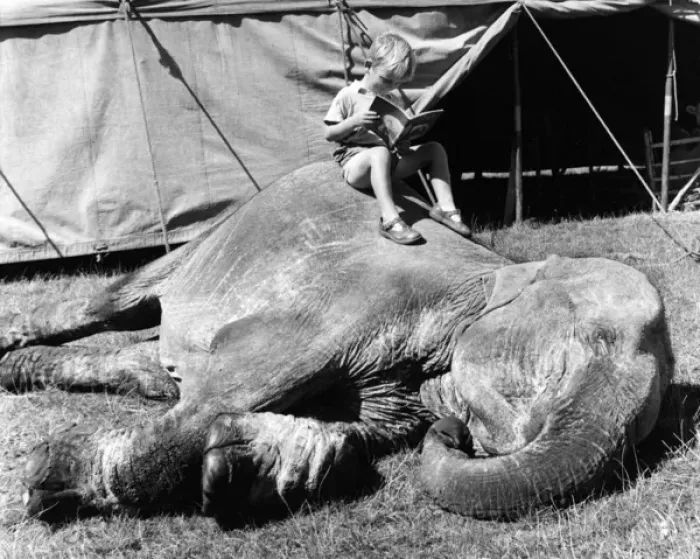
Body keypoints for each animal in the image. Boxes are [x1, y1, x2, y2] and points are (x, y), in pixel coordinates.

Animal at [0, 161, 672, 524]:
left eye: (646, 431)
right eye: (577, 350)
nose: (452, 432)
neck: (494, 272)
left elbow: (340, 434)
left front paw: (240, 467)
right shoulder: (351, 309)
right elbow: (219, 396)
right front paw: (46, 477)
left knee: (140, 364)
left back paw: (22, 370)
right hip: (215, 234)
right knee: (118, 303)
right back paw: (19, 345)